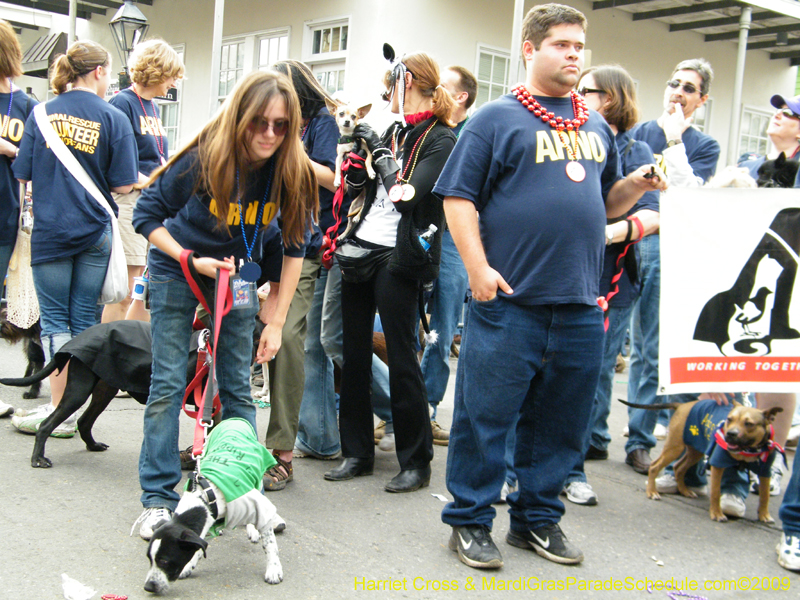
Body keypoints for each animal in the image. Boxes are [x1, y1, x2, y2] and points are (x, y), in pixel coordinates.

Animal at [145, 420, 286, 592]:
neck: (204, 496)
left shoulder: (259, 506)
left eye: (164, 561)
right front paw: (190, 565)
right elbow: (200, 545)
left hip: (257, 479)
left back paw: (252, 529)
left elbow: (269, 544)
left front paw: (274, 569)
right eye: (149, 559)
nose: (148, 587)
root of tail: (235, 420)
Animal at [620, 400, 780, 524]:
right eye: (729, 419)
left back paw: (684, 491)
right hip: (675, 447)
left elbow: (764, 496)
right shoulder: (717, 465)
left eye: (749, 423)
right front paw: (717, 514)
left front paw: (764, 515)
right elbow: (715, 492)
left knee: (678, 468)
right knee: (654, 466)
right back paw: (652, 492)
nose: (730, 434)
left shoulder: (765, 472)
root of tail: (683, 405)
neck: (749, 449)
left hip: (695, 452)